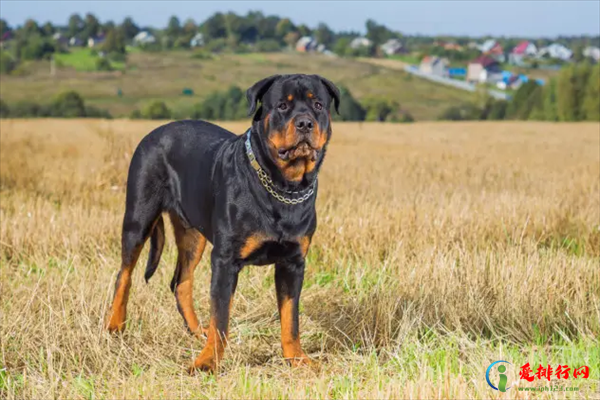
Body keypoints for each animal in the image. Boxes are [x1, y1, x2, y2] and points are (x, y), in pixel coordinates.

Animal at [106, 74, 338, 372]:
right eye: (283, 106)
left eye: (318, 105)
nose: (305, 123)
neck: (283, 186)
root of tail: (155, 132)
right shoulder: (225, 260)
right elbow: (221, 317)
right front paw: (207, 362)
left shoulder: (293, 262)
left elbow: (290, 318)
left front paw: (297, 359)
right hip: (138, 218)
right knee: (124, 274)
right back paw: (115, 326)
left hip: (193, 236)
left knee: (181, 282)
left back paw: (196, 331)